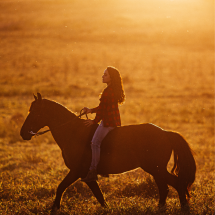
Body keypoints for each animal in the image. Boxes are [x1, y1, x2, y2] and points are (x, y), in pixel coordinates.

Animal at [20, 93, 197, 212]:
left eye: (35, 112)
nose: (23, 133)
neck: (73, 132)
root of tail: (165, 133)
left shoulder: (78, 171)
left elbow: (63, 187)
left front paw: (54, 208)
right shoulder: (83, 174)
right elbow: (97, 195)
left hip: (156, 168)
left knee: (176, 184)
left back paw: (183, 207)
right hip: (156, 169)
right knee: (165, 188)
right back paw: (161, 208)